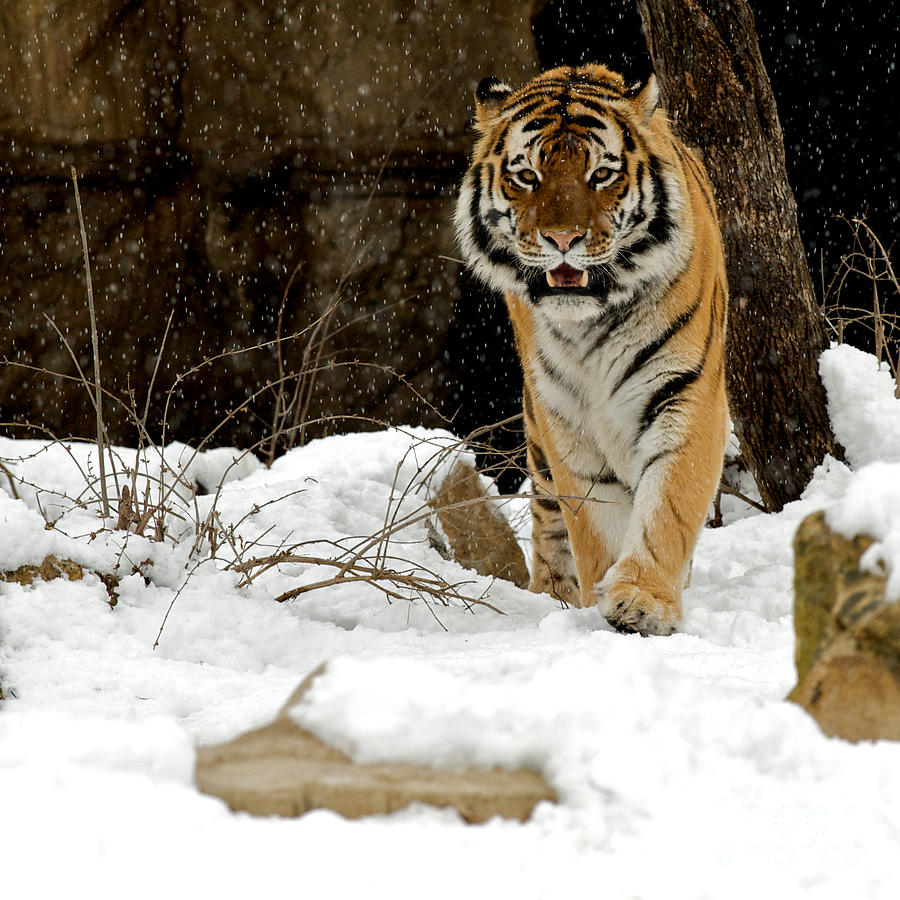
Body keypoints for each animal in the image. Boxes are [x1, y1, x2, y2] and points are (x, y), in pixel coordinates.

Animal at [454, 63, 728, 636]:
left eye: (601, 175)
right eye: (527, 176)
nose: (563, 240)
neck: (592, 324)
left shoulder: (686, 394)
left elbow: (668, 504)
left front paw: (644, 603)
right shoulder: (567, 419)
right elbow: (595, 523)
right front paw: (600, 605)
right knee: (547, 522)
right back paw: (553, 595)